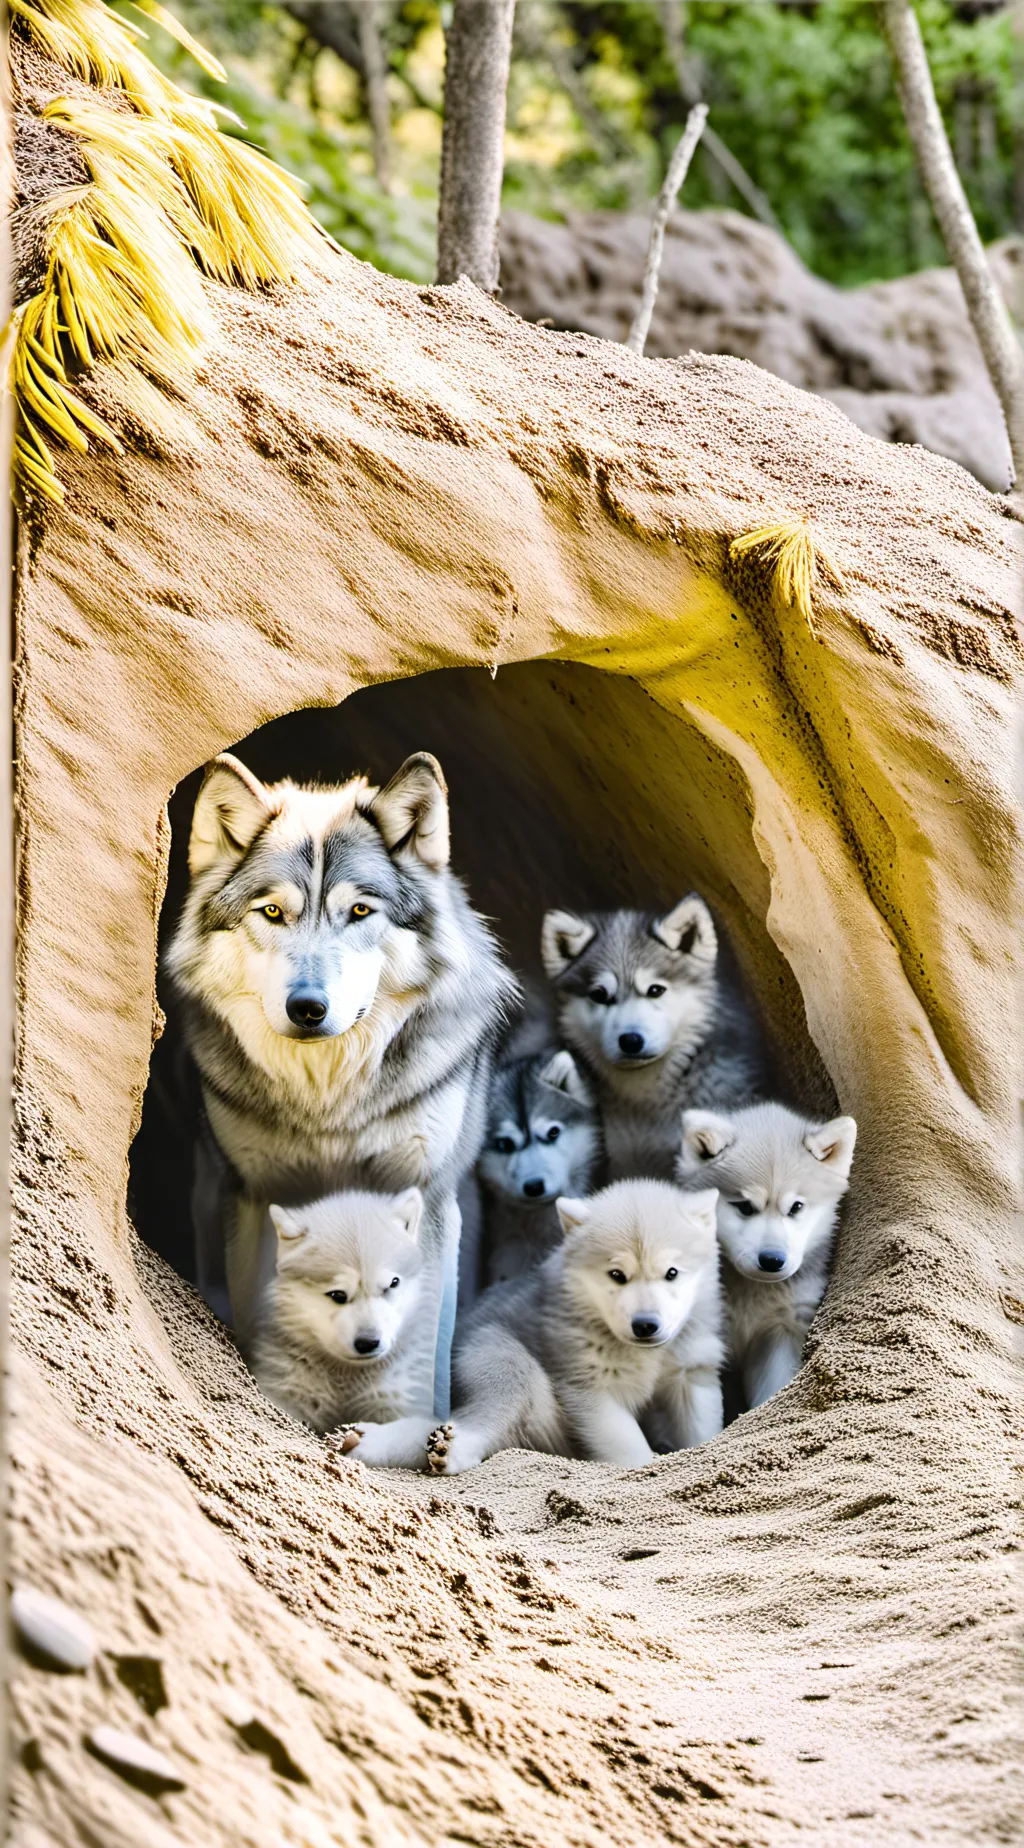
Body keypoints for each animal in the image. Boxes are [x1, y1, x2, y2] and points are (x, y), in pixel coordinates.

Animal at [165, 749, 517, 1414]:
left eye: (358, 911)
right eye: (273, 912)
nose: (308, 1008)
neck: (329, 1101)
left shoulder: (424, 1197)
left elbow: (425, 1339)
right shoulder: (254, 1195)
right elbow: (257, 1309)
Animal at [251, 1187, 438, 1465]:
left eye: (392, 1284)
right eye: (337, 1295)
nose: (368, 1343)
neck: (347, 1377)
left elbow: (412, 1432)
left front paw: (368, 1442)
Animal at [425, 1179, 724, 1475]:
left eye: (672, 1272)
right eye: (617, 1275)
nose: (645, 1325)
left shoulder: (691, 1364)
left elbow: (699, 1420)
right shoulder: (584, 1375)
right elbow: (623, 1438)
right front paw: (642, 1463)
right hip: (498, 1351)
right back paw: (450, 1451)